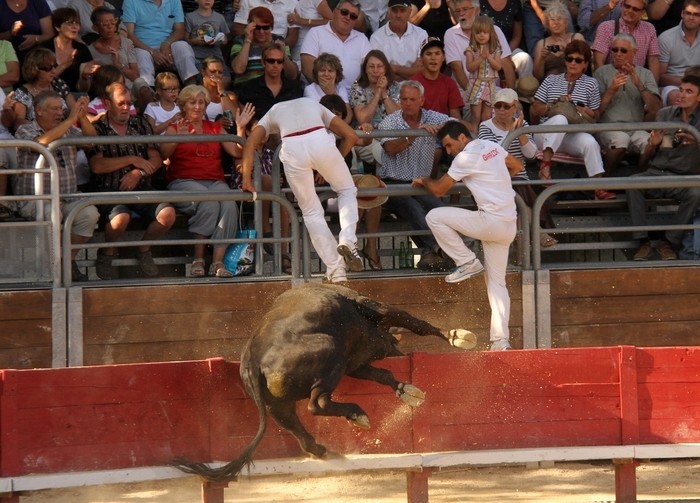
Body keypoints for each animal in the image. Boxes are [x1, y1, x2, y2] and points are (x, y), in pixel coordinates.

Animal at [174, 284, 476, 480]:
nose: (395, 348)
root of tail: (252, 359)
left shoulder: (356, 363)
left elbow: (383, 375)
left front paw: (406, 390)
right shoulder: (373, 314)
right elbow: (414, 322)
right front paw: (458, 337)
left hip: (279, 403)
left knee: (294, 422)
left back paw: (322, 448)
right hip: (333, 358)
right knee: (316, 404)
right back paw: (357, 414)